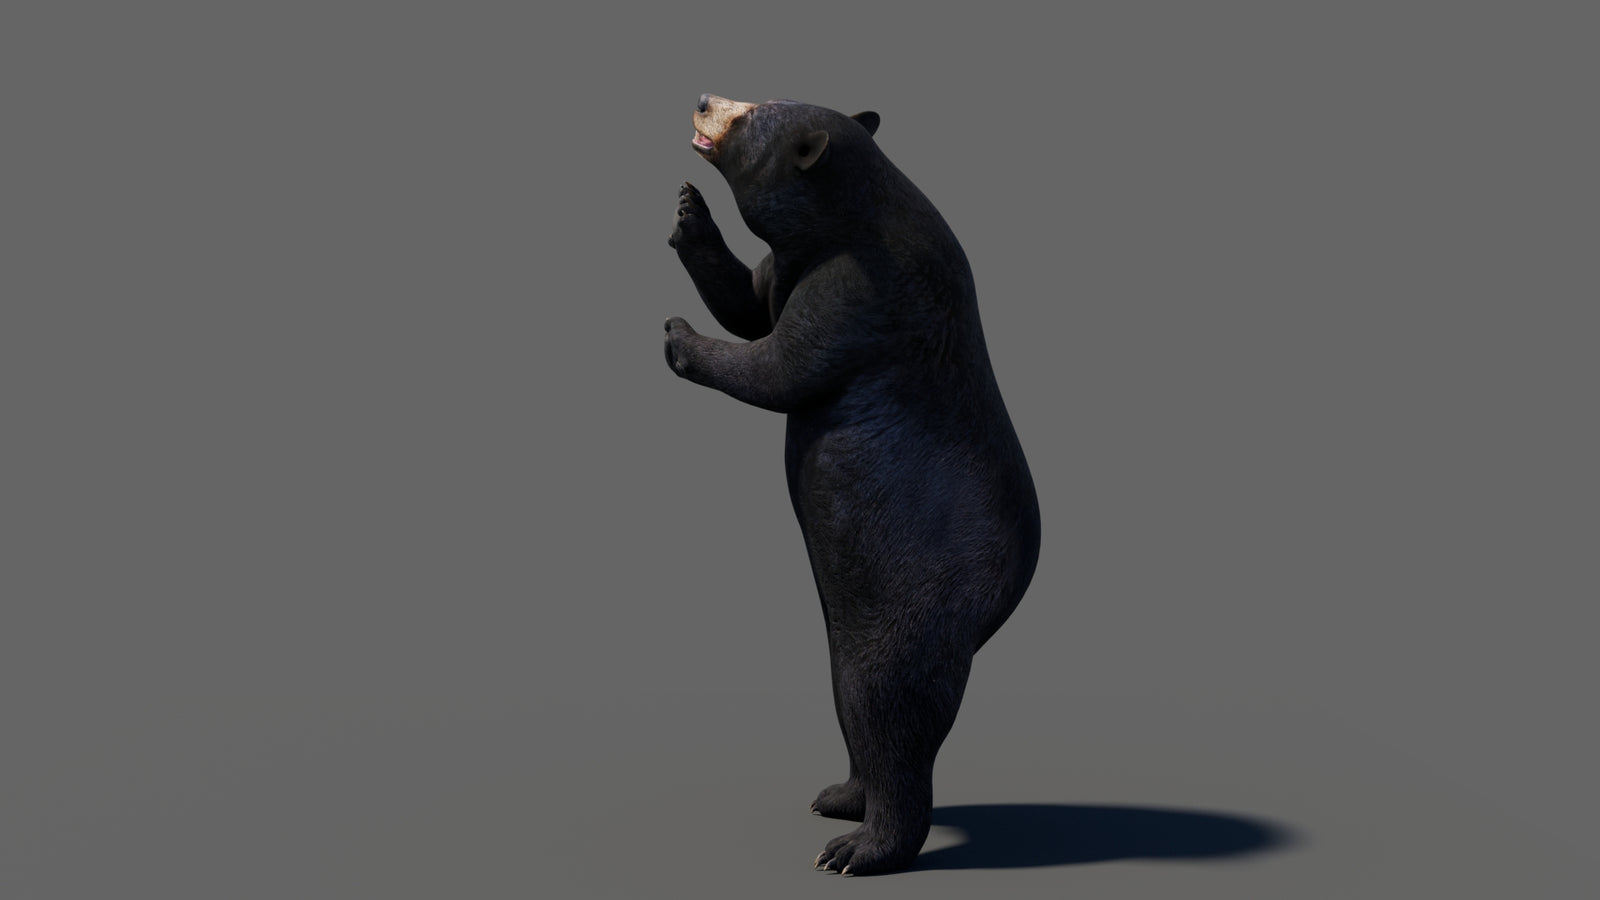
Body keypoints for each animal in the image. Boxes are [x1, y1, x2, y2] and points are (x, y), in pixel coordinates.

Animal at [663, 94, 1041, 875]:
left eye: (750, 116)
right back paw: (839, 797)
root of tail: (998, 604)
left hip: (913, 600)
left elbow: (779, 364)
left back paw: (859, 848)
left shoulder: (857, 286)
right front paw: (688, 213)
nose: (704, 100)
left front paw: (679, 336)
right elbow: (750, 298)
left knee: (887, 705)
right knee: (852, 699)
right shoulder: (797, 262)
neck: (850, 213)